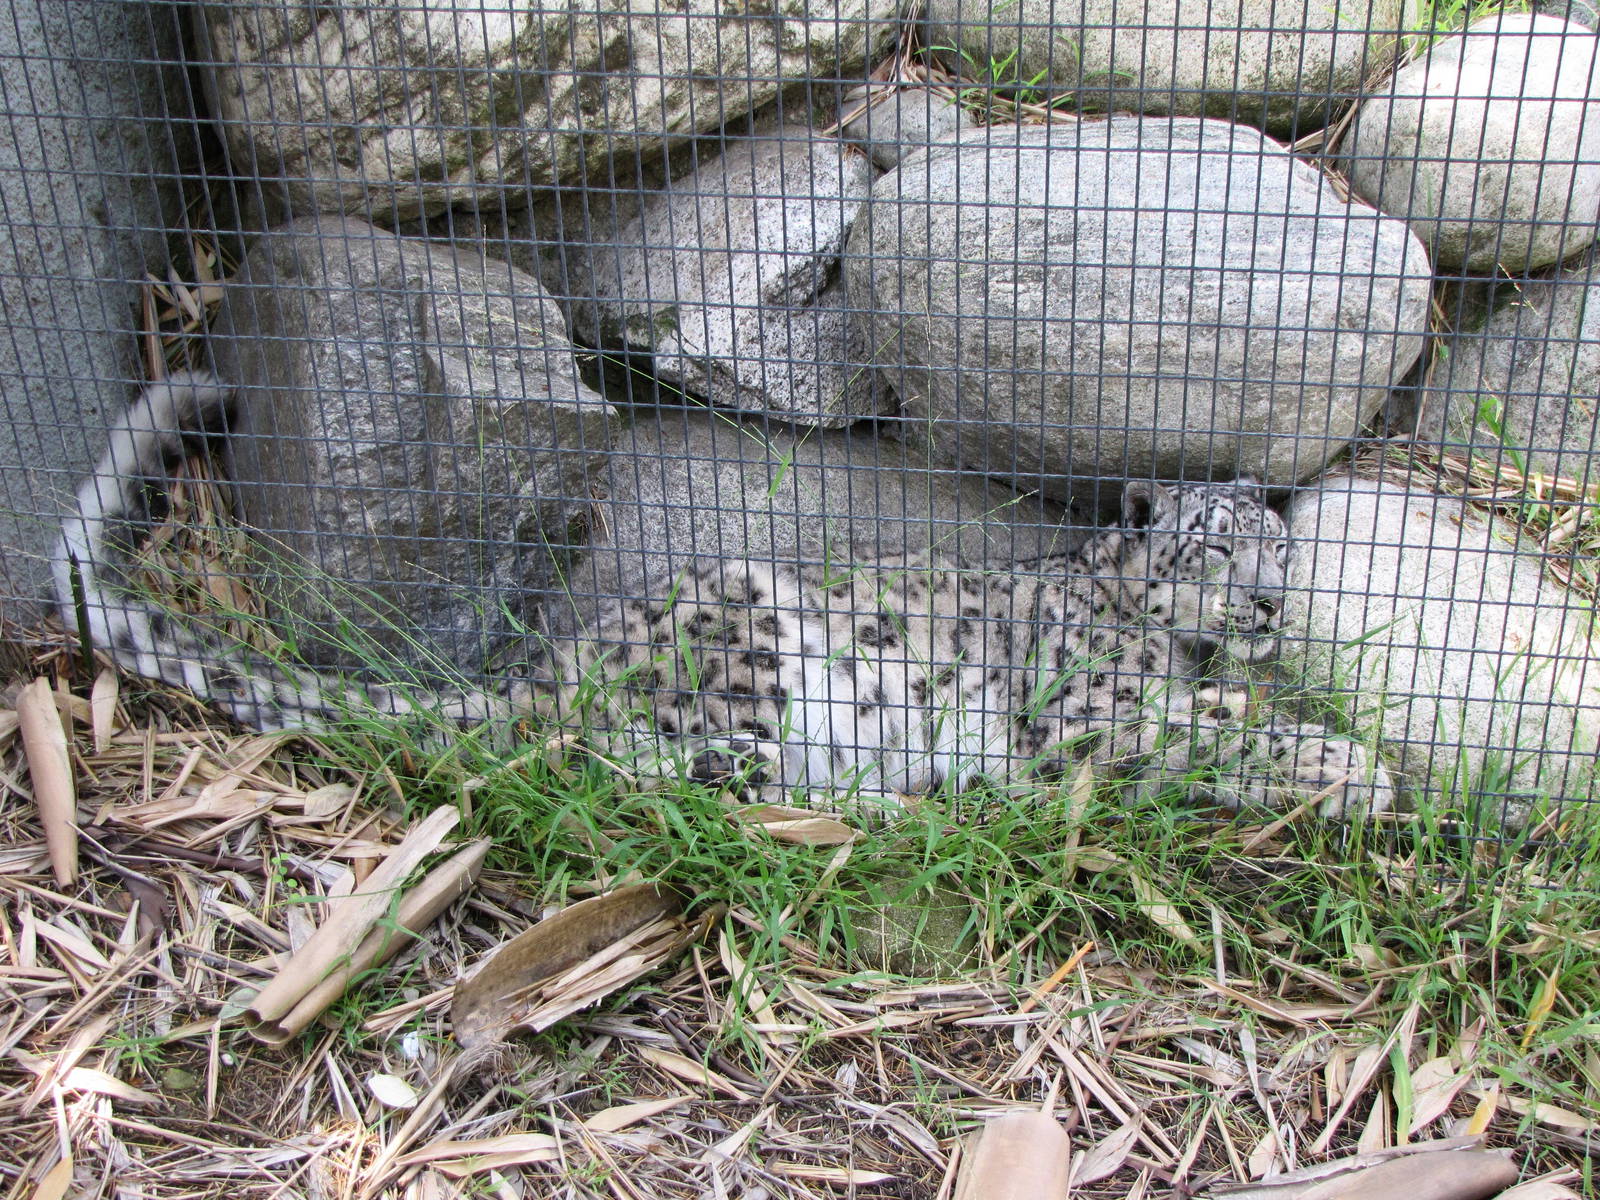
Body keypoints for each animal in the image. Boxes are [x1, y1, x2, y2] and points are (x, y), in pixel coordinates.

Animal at [58, 372, 1391, 819]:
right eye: (1208, 550)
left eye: (1278, 548)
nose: (1267, 605)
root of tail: (550, 664)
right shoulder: (1096, 717)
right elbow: (1224, 733)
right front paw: (1358, 768)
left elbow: (1231, 718)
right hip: (749, 650)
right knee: (640, 778)